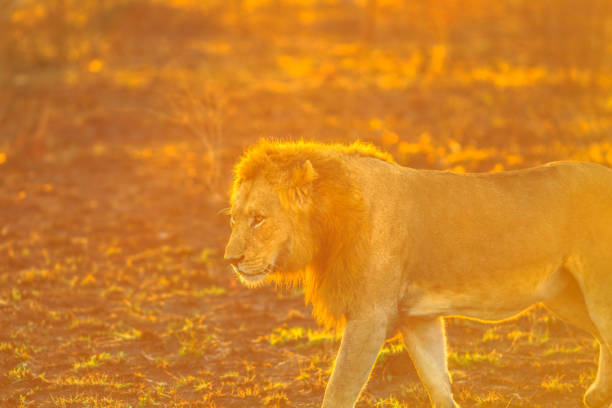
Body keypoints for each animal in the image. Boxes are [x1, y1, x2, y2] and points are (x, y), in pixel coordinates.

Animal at [224, 141, 612, 408]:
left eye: (258, 218)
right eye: (234, 218)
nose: (231, 259)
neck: (330, 223)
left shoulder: (370, 317)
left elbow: (339, 390)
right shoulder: (417, 319)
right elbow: (436, 380)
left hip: (597, 292)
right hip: (565, 297)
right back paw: (597, 395)